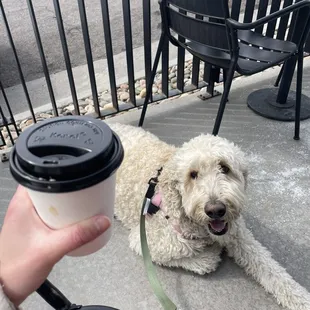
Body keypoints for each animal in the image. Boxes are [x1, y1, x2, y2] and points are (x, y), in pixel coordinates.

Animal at [109, 122, 310, 308]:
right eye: (193, 174)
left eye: (224, 167)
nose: (215, 210)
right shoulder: (145, 239)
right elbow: (199, 258)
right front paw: (209, 254)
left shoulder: (239, 235)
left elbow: (270, 268)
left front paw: (300, 299)